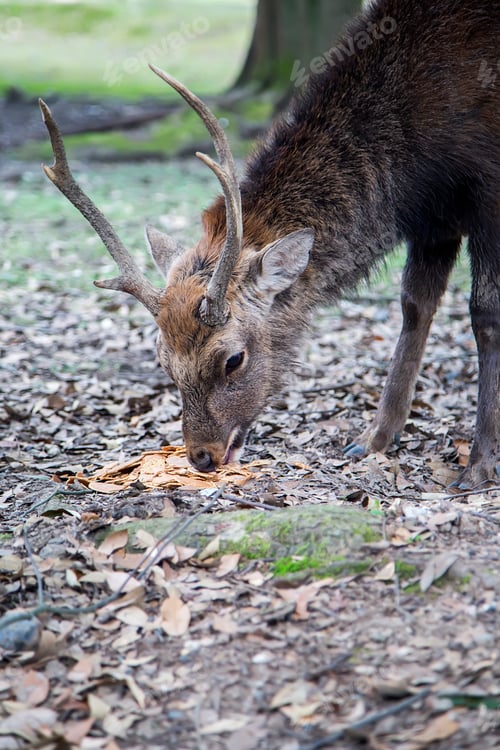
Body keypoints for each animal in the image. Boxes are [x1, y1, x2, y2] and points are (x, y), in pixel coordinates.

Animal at [39, 0, 499, 488]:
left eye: (233, 359)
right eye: (163, 361)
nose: (201, 455)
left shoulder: (487, 191)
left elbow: (484, 315)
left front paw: (480, 464)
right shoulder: (434, 218)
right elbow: (415, 306)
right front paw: (373, 439)